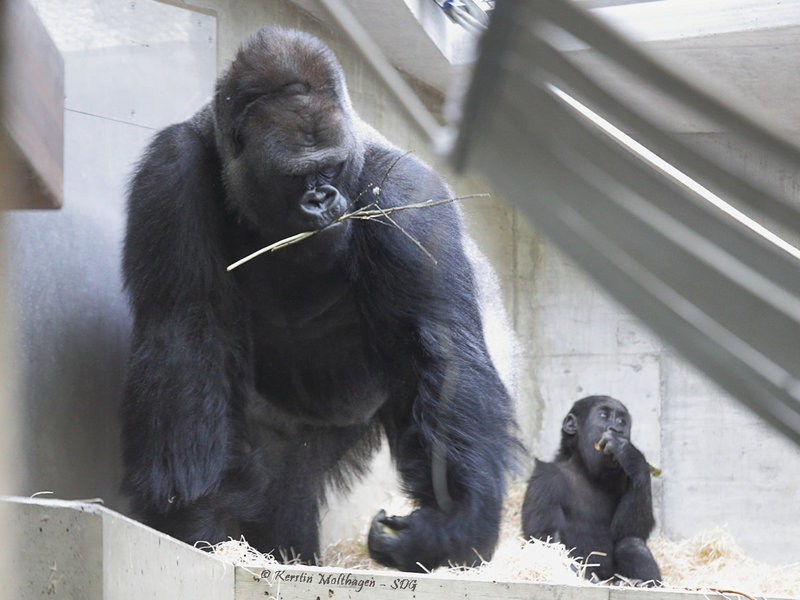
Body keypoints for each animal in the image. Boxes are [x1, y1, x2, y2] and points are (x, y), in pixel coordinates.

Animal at [121, 27, 516, 572]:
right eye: (295, 176)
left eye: (331, 167)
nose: (322, 200)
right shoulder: (170, 167)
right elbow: (183, 328)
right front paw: (191, 513)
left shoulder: (406, 195)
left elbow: (439, 347)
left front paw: (454, 523)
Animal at [520, 396, 660, 584]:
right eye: (604, 416)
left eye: (622, 421)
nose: (616, 429)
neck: (584, 469)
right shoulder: (545, 479)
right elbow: (545, 539)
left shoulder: (625, 477)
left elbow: (631, 531)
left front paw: (630, 455)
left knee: (631, 544)